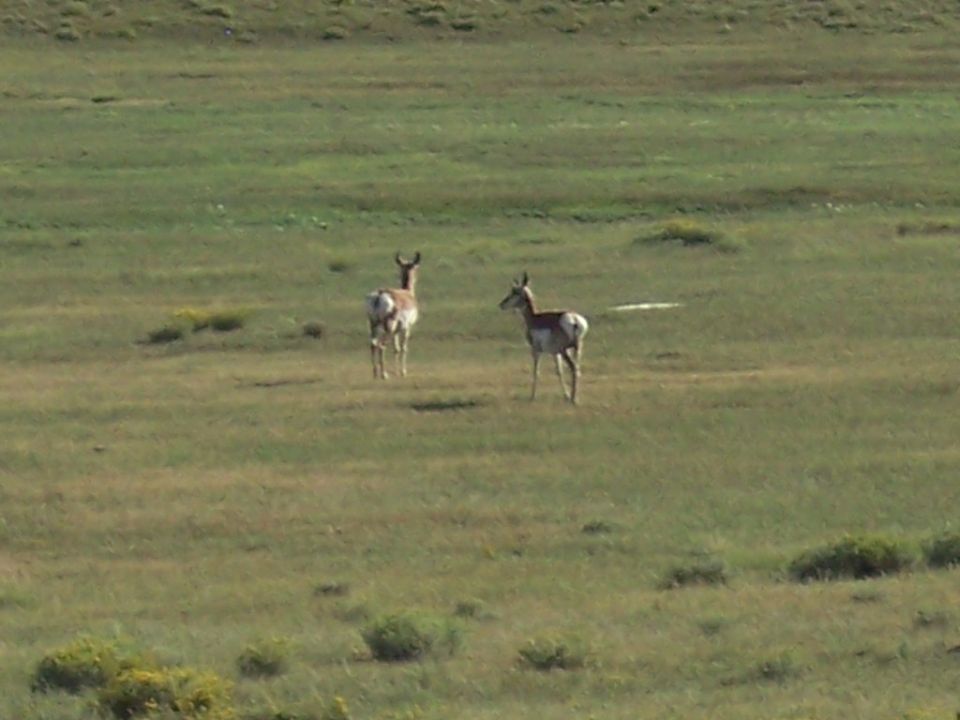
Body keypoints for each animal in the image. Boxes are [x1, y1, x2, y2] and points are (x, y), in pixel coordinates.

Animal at [499, 272, 589, 404]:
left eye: (515, 291)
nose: (501, 304)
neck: (534, 318)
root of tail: (574, 319)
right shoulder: (554, 353)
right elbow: (559, 372)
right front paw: (565, 395)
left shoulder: (536, 350)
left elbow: (536, 371)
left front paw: (532, 396)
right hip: (577, 349)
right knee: (577, 369)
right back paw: (574, 397)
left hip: (565, 351)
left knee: (573, 368)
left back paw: (574, 400)